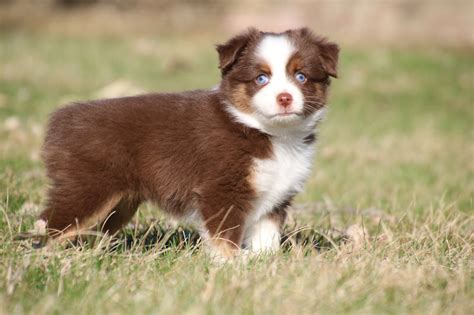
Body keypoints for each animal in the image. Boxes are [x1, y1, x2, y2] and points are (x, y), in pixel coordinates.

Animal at [39, 27, 338, 260]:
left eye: (301, 76)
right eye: (261, 78)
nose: (285, 98)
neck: (268, 133)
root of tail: (60, 119)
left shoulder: (276, 196)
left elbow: (267, 237)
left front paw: (265, 262)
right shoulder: (220, 190)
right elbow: (224, 235)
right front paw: (232, 263)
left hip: (119, 202)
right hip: (88, 188)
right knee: (52, 225)